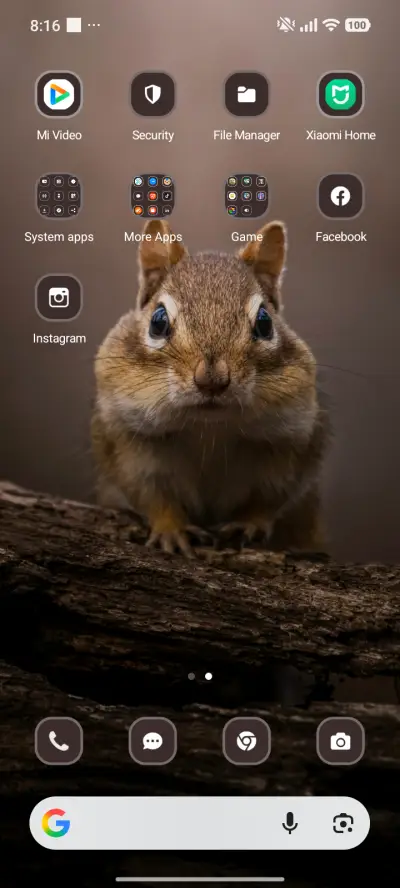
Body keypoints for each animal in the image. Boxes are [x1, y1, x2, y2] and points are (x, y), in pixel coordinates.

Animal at [92, 218, 329, 556]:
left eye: (265, 322)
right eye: (157, 321)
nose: (212, 380)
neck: (208, 428)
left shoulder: (295, 440)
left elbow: (271, 499)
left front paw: (249, 523)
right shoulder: (126, 441)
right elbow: (151, 495)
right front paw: (171, 529)